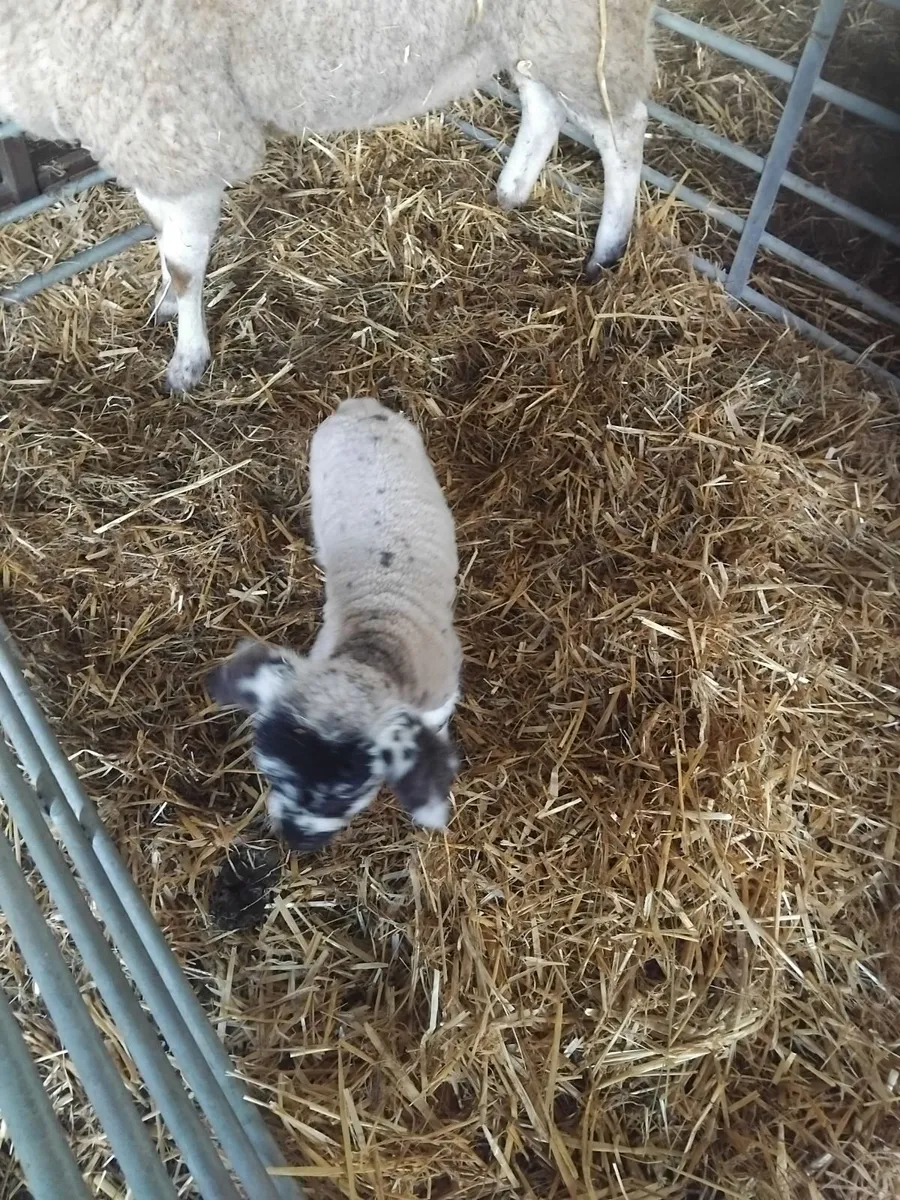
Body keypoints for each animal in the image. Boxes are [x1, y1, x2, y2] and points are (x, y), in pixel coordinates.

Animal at [0, 1, 654, 392]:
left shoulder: (182, 127)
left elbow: (185, 265)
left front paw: (187, 361)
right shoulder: (149, 140)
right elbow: (164, 243)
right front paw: (163, 306)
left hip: (583, 30)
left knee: (623, 134)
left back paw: (606, 252)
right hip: (529, 29)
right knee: (543, 104)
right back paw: (511, 192)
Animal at [206, 396, 461, 851]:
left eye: (346, 794)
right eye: (272, 776)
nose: (296, 841)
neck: (375, 647)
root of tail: (358, 408)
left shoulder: (440, 695)